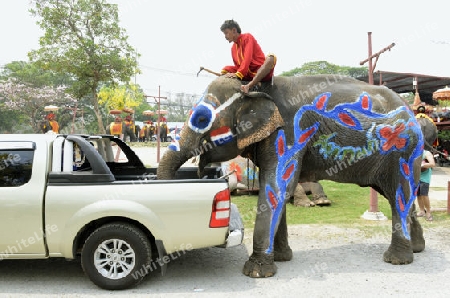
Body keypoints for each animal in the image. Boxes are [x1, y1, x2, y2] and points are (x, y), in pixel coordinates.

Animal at [158, 74, 426, 278]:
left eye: (202, 119)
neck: (255, 88)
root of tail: (411, 112)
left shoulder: (288, 133)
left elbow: (277, 186)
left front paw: (256, 272)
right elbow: (277, 188)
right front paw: (281, 258)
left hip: (403, 150)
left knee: (399, 194)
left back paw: (397, 260)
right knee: (401, 195)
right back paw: (417, 249)